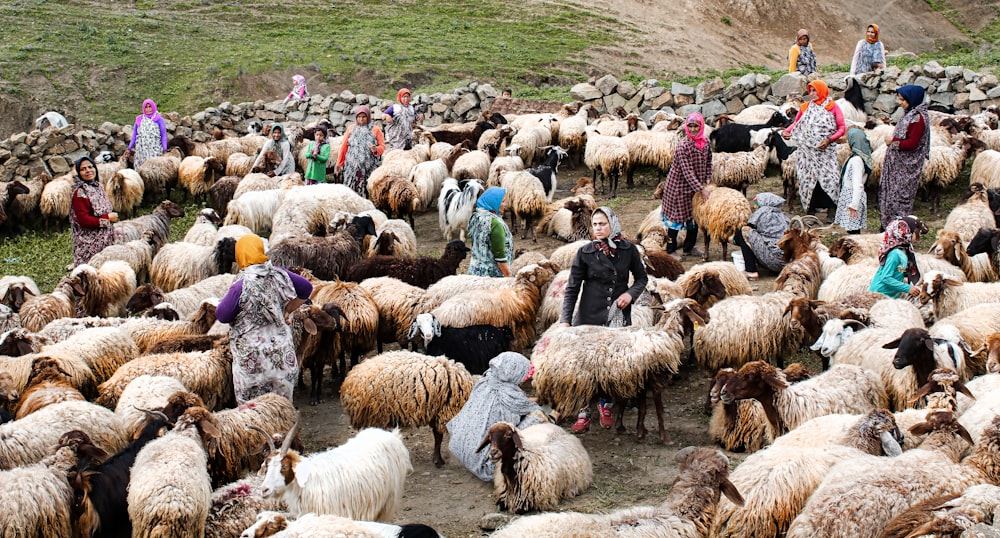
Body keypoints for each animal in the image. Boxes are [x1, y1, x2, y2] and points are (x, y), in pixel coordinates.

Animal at [262, 422, 414, 520]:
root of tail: (392, 436)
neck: (306, 483)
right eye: (267, 466)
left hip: (388, 502)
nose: (264, 490)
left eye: (284, 467)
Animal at [340, 352, 472, 464]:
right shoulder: (443, 413)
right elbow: (439, 437)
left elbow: (438, 436)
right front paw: (438, 461)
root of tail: (350, 380)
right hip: (374, 415)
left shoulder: (438, 413)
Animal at [536, 298, 708, 440]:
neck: (666, 334)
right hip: (570, 385)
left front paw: (640, 432)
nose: (708, 316)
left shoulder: (641, 380)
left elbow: (643, 408)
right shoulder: (657, 380)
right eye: (695, 306)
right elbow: (659, 410)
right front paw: (664, 437)